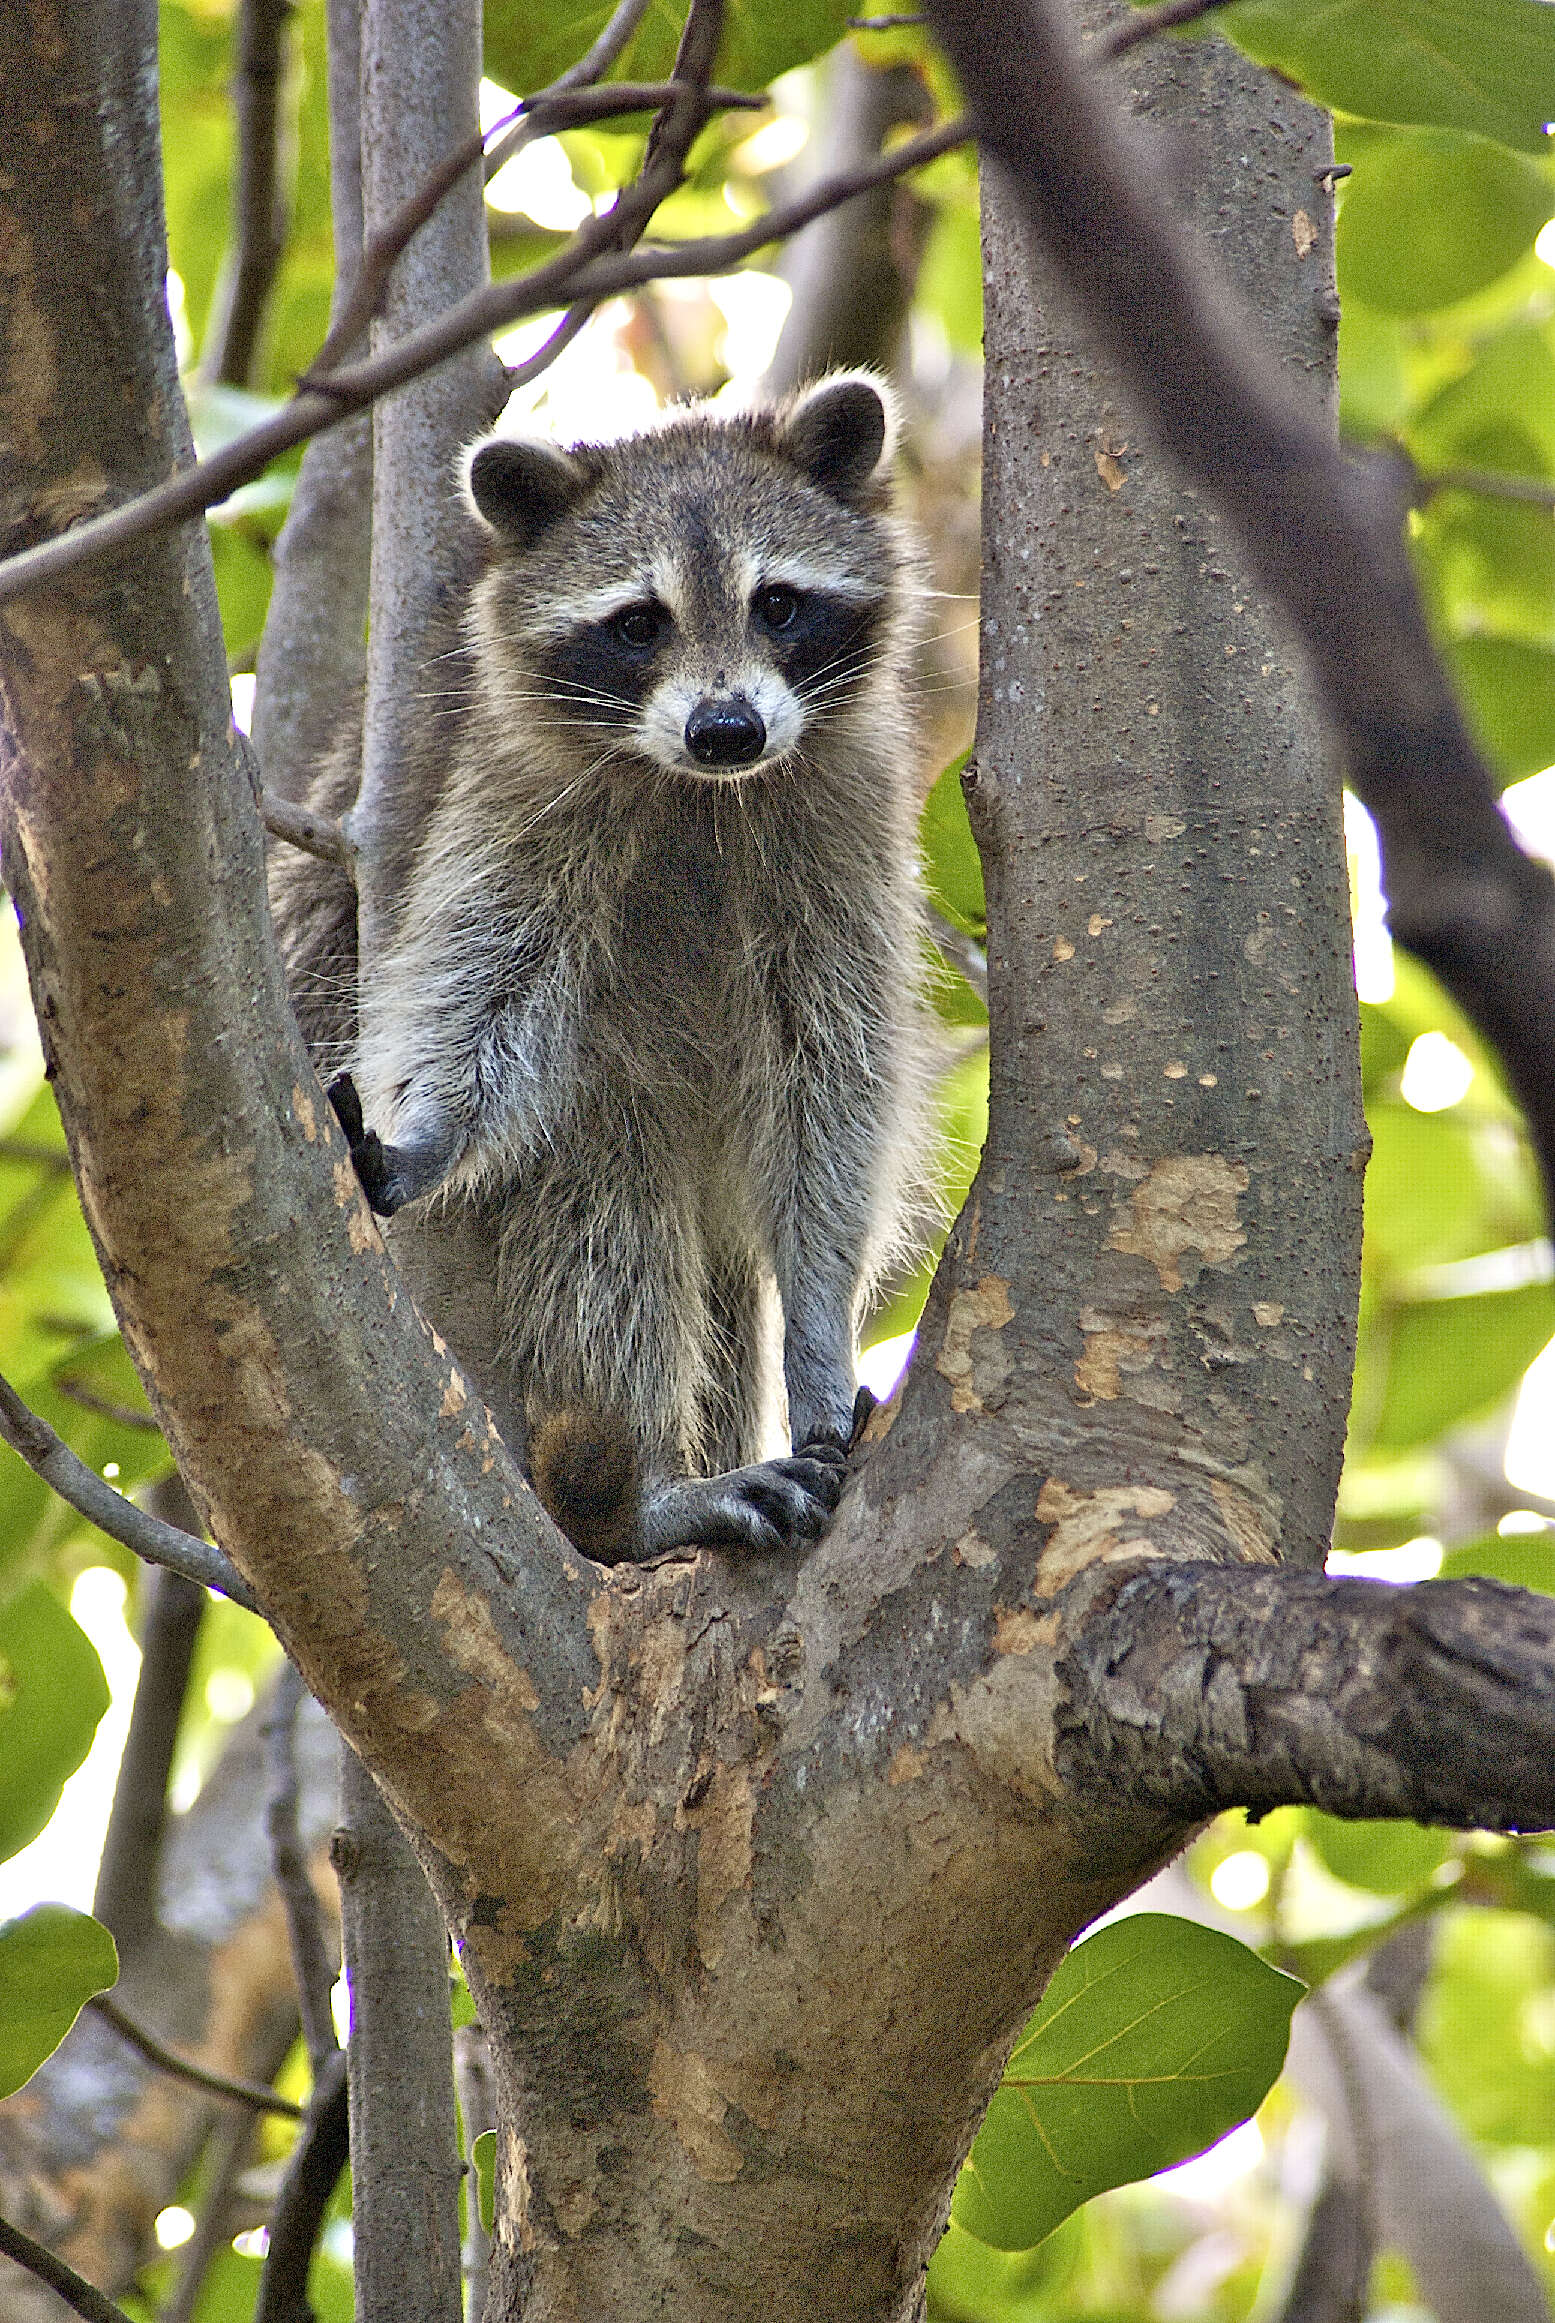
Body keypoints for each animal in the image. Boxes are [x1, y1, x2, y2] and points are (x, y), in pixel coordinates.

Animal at [268, 371, 929, 1561]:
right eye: (636, 624)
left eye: (777, 604)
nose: (727, 729)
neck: (698, 793)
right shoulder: (510, 789)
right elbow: (484, 991)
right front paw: (427, 1132)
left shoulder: (843, 819)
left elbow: (831, 1090)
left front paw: (818, 1330)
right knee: (602, 1187)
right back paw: (636, 1495)